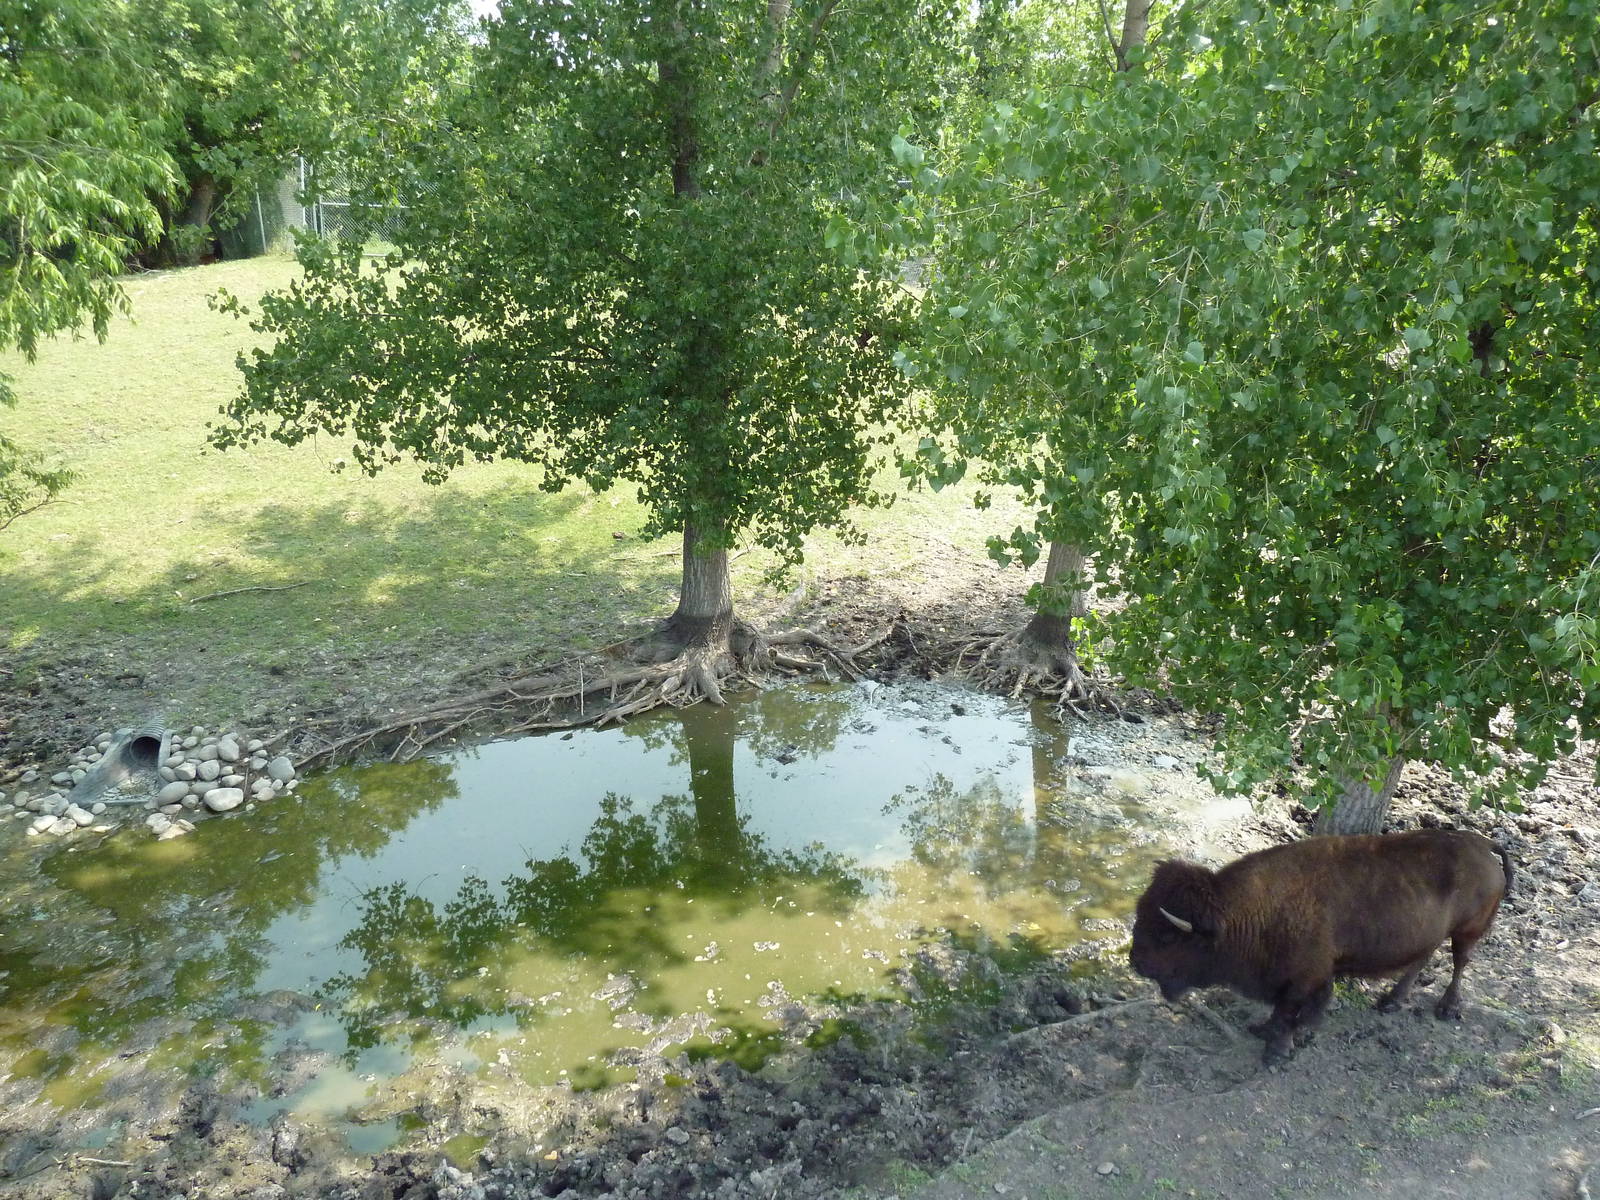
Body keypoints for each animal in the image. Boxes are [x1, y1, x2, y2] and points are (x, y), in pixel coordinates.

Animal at [1129, 830, 1512, 1064]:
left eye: (1168, 936)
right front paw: (1265, 1031)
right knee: (1423, 958)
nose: (1135, 963)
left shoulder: (1304, 980)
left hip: (1469, 929)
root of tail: (1482, 844)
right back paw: (1390, 1001)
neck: (1243, 912)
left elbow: (1289, 1013)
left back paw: (1446, 1008)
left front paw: (1277, 1051)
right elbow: (1285, 1011)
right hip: (1430, 932)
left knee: (1460, 961)